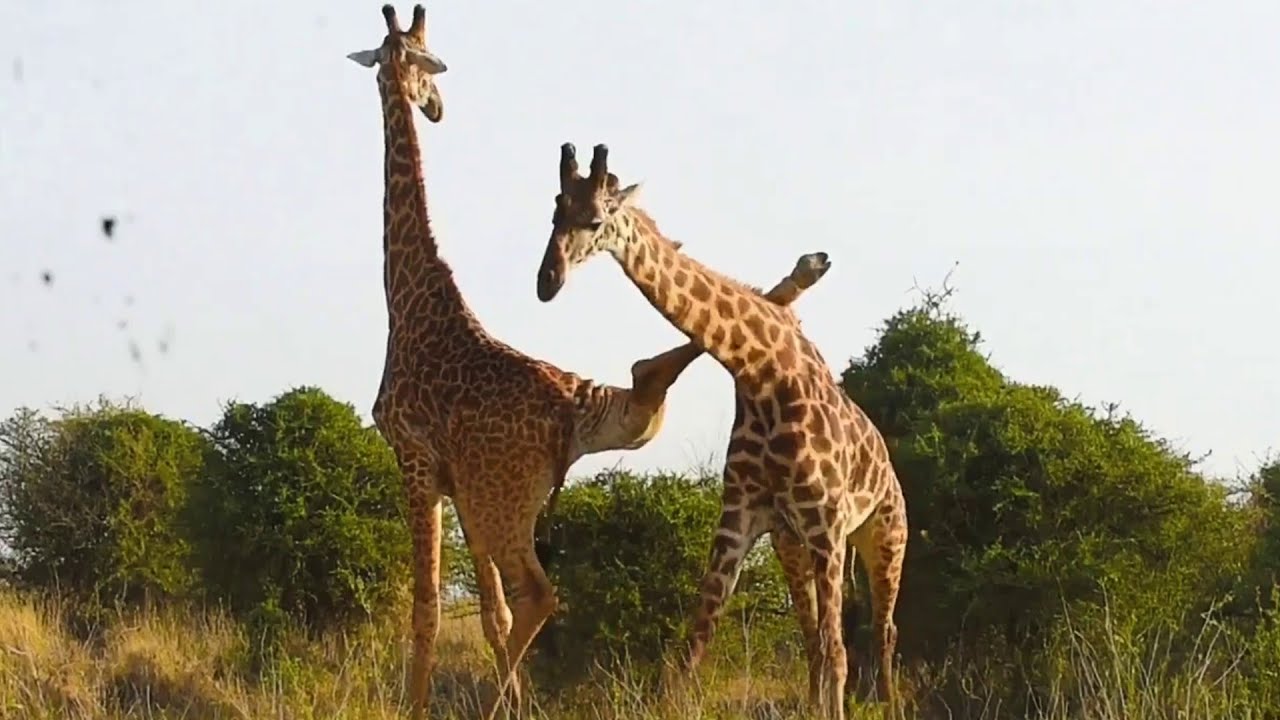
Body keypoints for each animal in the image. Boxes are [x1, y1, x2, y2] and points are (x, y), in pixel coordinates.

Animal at [346, 14, 834, 715]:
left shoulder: (414, 459)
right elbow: (490, 615)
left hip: (506, 504)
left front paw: (421, 707)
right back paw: (801, 278)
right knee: (647, 376)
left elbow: (430, 611)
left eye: (424, 61)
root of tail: (571, 408)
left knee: (540, 593)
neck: (410, 297)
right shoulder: (458, 484)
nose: (435, 107)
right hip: (546, 469)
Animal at [534, 143, 909, 720]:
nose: (547, 282)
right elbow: (695, 641)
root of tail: (889, 464)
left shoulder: (827, 523)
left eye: (594, 220)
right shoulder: (741, 519)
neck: (760, 371)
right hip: (790, 544)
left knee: (881, 629)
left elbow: (840, 650)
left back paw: (888, 702)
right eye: (554, 213)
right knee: (813, 638)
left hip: (883, 534)